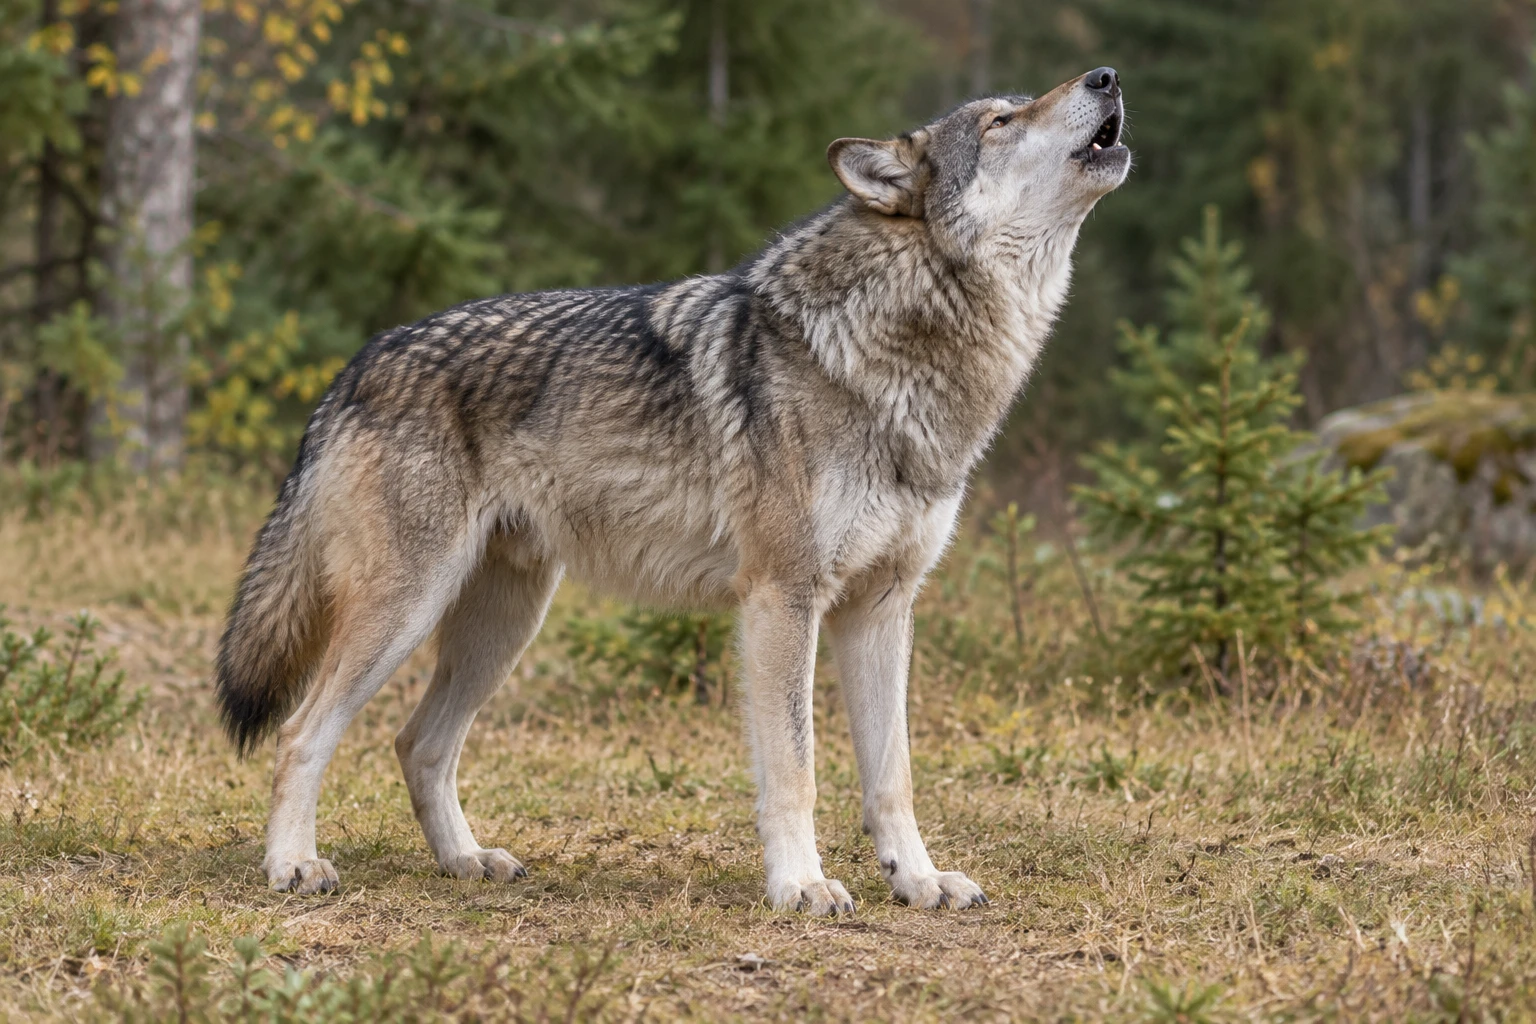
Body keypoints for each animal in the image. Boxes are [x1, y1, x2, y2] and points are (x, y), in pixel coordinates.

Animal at [215, 67, 1130, 914]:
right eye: (1002, 121)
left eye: (1019, 104)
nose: (1106, 76)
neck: (902, 347)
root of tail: (358, 363)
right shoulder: (782, 598)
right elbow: (795, 768)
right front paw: (802, 885)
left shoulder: (882, 605)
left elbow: (892, 775)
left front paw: (919, 879)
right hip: (406, 610)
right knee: (301, 734)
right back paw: (293, 866)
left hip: (502, 625)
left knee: (418, 744)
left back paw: (466, 861)